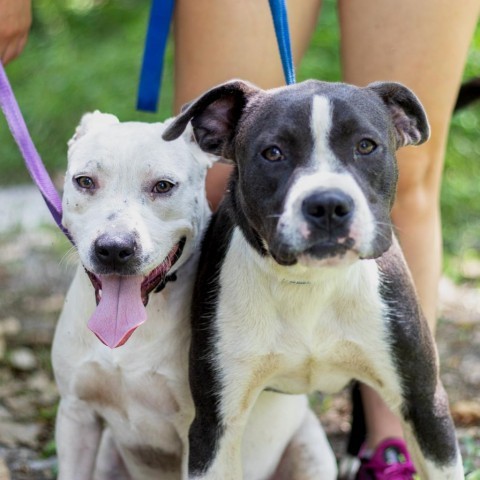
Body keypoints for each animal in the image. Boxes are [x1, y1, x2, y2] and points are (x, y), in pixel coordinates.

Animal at [51, 111, 338, 480]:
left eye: (163, 186)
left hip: (311, 449)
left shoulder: (199, 433)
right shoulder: (77, 415)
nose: (114, 249)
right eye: (85, 181)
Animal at [163, 79, 464, 480]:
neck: (311, 283)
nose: (328, 204)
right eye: (272, 153)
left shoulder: (426, 405)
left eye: (365, 146)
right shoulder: (215, 425)